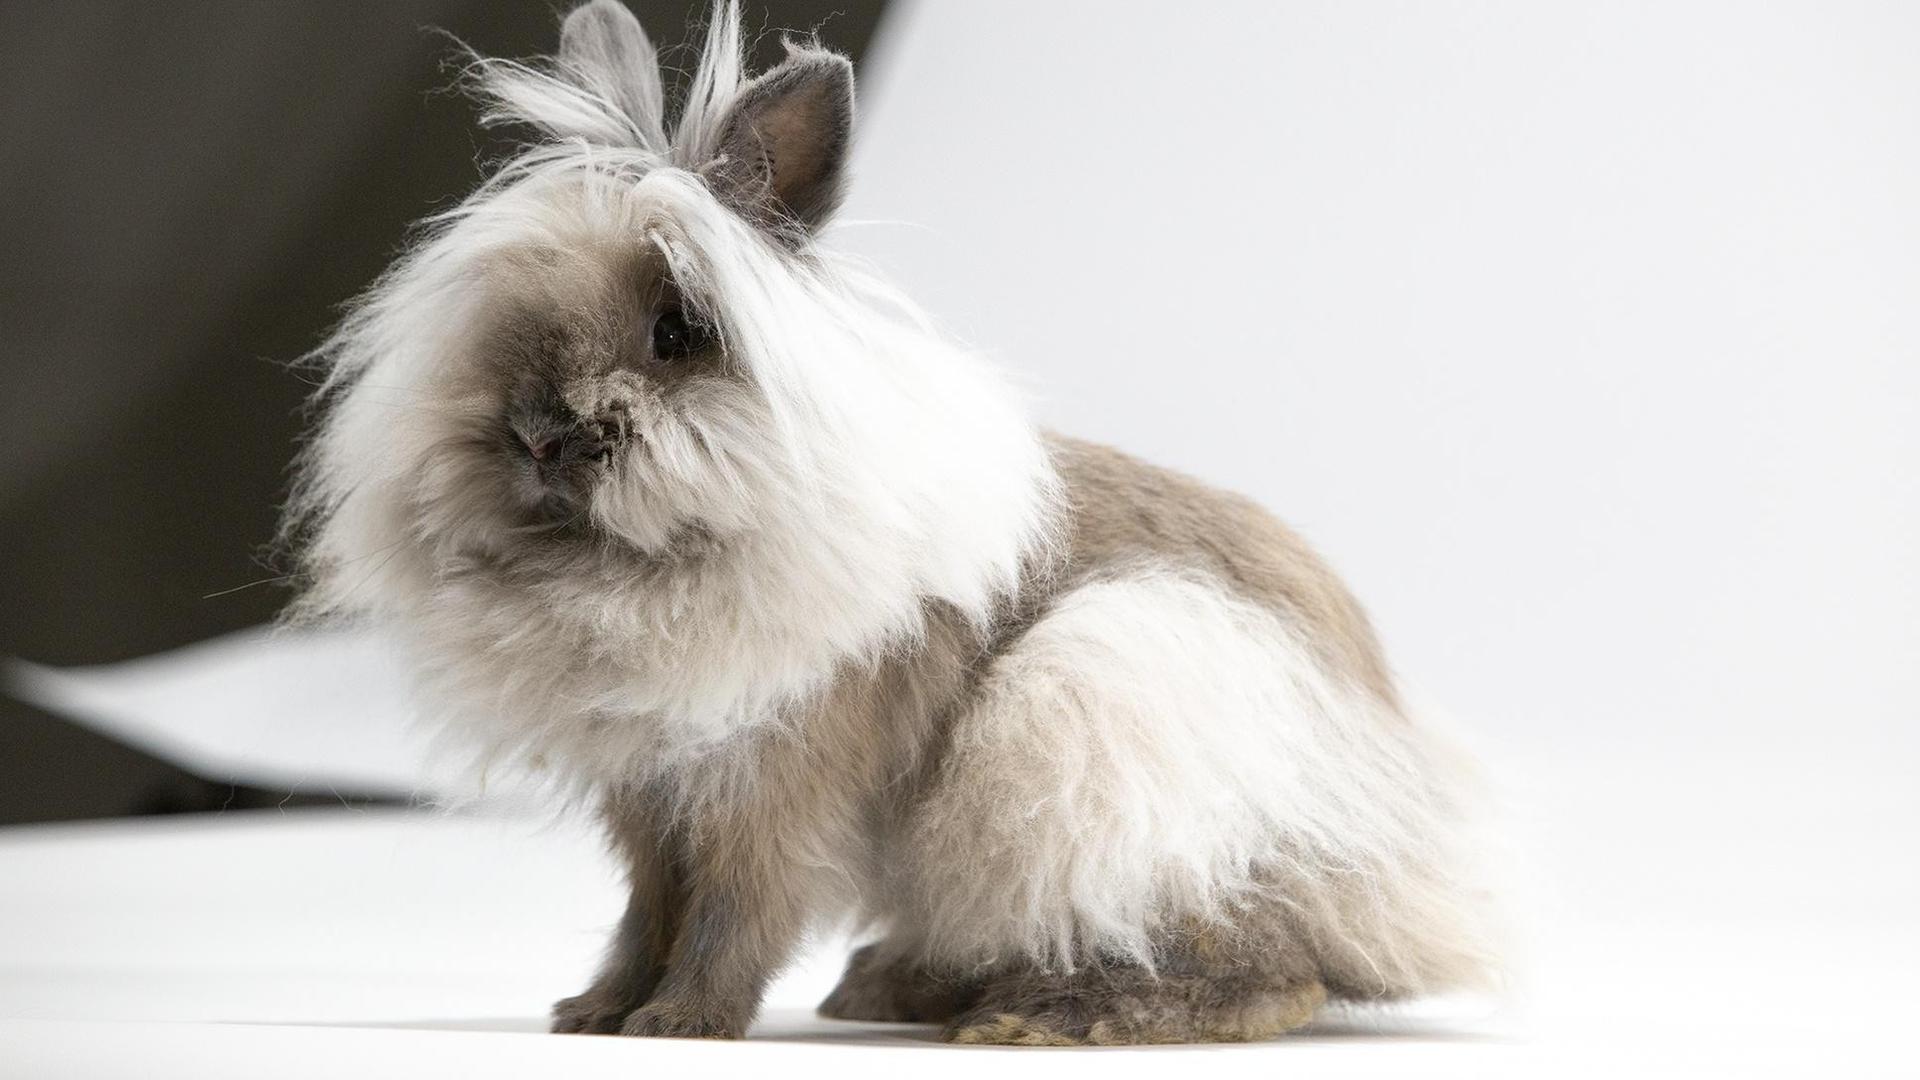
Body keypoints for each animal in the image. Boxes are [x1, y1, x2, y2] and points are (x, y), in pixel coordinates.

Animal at [282, 0, 1498, 1045]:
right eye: (501, 319)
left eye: (677, 332)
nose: (538, 435)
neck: (658, 566)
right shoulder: (652, 800)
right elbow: (647, 912)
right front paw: (592, 1014)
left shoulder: (778, 784)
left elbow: (735, 915)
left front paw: (683, 1024)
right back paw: (891, 989)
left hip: (1113, 712)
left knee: (1267, 975)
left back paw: (1041, 1020)